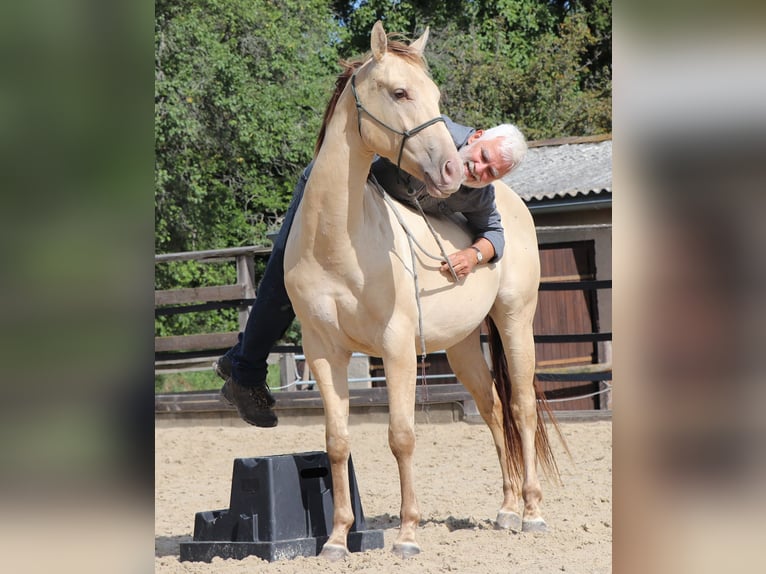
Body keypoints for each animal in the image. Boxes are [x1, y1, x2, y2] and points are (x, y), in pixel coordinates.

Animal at [284, 21, 559, 560]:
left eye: (436, 96)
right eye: (399, 92)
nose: (452, 171)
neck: (336, 244)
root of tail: (514, 203)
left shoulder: (396, 349)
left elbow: (402, 436)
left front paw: (408, 535)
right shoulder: (323, 351)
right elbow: (337, 441)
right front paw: (336, 539)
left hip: (516, 322)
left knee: (520, 408)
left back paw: (533, 514)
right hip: (461, 347)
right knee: (495, 412)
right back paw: (507, 510)